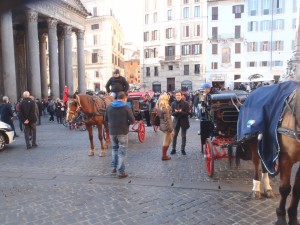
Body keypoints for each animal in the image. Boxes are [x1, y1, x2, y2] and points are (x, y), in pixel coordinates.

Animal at [237, 85, 300, 225]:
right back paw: (256, 189)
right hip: (254, 142)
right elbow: (285, 188)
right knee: (256, 164)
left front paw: (293, 216)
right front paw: (281, 216)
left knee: (264, 162)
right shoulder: (285, 158)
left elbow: (297, 189)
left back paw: (267, 187)